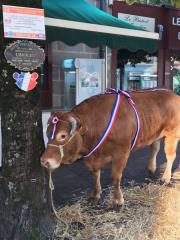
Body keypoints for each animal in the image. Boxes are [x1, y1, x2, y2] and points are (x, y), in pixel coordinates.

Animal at [40, 89, 180, 206]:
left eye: (63, 135)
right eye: (47, 133)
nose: (44, 161)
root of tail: (173, 94)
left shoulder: (121, 153)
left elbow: (115, 176)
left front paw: (118, 199)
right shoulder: (92, 157)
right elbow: (94, 175)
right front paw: (95, 195)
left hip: (172, 134)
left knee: (170, 156)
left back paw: (165, 178)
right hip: (155, 133)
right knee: (154, 148)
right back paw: (151, 169)